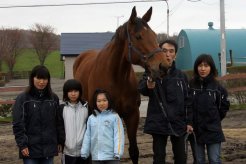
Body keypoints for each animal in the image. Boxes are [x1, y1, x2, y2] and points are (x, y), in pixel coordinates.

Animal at [74, 6, 168, 164]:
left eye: (154, 35)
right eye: (138, 36)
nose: (164, 66)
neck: (116, 78)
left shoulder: (132, 115)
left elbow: (134, 151)